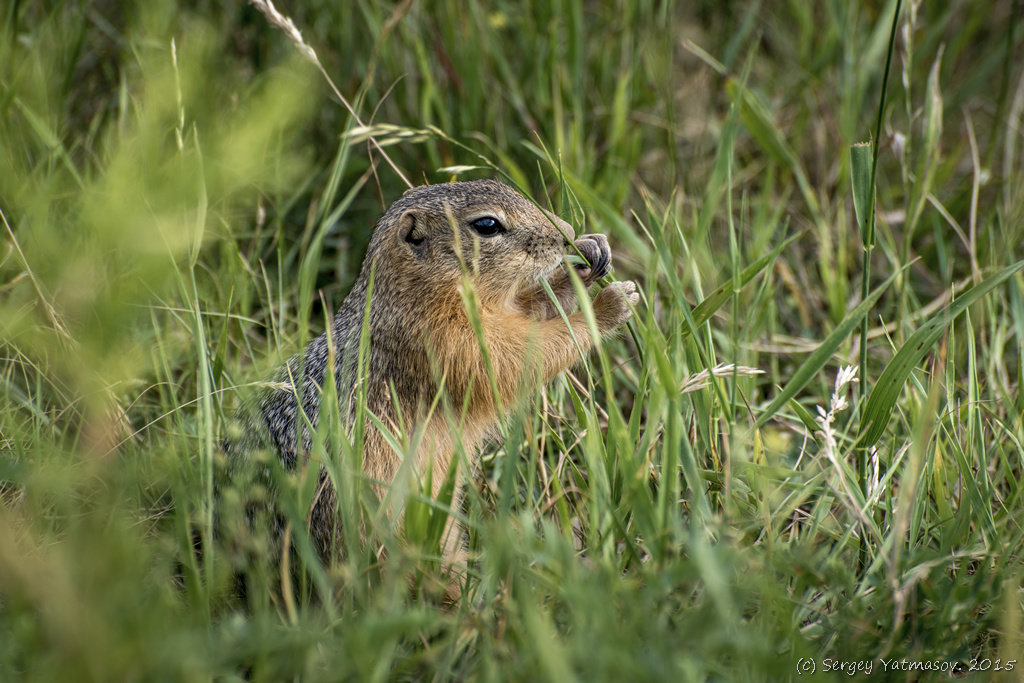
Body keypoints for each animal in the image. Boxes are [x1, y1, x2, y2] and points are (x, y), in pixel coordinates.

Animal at [240, 179, 638, 589]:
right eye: (487, 225)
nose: (567, 233)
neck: (403, 301)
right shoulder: (445, 342)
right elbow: (512, 359)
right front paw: (607, 305)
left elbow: (528, 308)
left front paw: (589, 255)